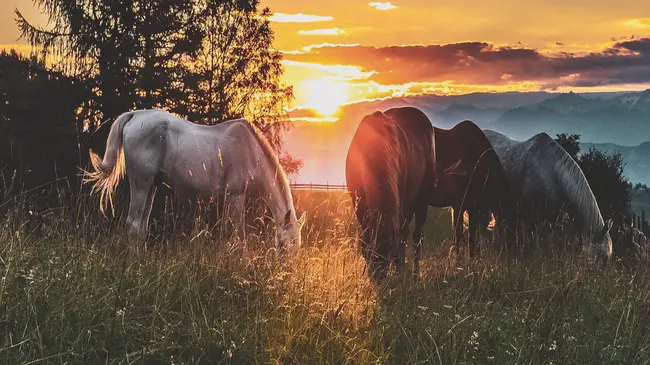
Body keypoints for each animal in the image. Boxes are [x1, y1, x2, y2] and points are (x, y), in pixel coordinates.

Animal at [85, 109, 306, 249]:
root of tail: (135, 115)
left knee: (141, 226)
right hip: (141, 183)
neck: (251, 151)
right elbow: (238, 237)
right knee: (133, 224)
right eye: (284, 246)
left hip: (152, 186)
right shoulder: (235, 197)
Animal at [346, 106, 432, 280]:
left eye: (389, 250)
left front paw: (399, 270)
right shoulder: (358, 203)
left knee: (415, 237)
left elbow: (402, 239)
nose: (378, 278)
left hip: (421, 201)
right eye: (367, 252)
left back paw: (414, 273)